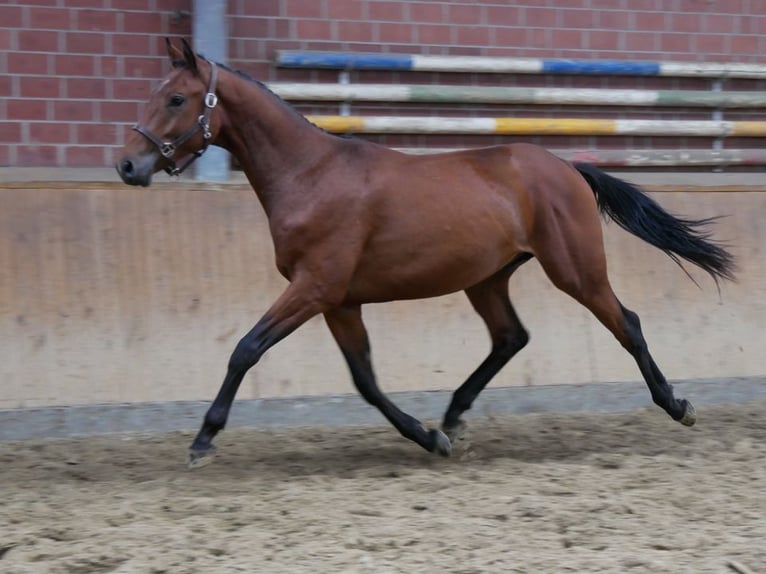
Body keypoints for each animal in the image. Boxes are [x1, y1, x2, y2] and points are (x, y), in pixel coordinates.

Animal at [115, 40, 736, 468]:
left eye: (176, 98)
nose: (127, 165)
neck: (309, 174)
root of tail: (568, 168)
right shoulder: (339, 302)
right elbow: (365, 381)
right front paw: (430, 437)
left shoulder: (314, 288)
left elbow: (245, 350)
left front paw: (203, 439)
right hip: (487, 278)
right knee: (510, 337)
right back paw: (454, 416)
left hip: (576, 271)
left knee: (626, 323)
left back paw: (677, 405)